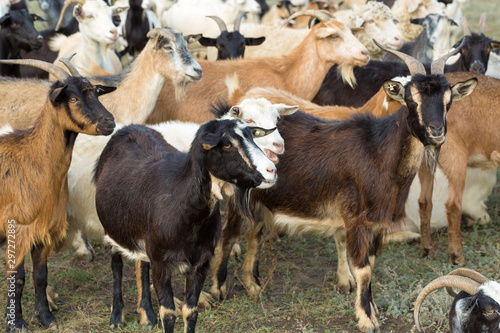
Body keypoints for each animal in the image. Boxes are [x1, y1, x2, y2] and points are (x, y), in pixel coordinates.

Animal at [0, 57, 116, 332]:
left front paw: (46, 318)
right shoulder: (18, 228)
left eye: (95, 93)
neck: (33, 161)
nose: (110, 122)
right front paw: (17, 323)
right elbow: (17, 277)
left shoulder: (44, 228)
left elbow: (40, 276)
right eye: (72, 98)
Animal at [94, 118, 278, 330]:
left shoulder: (200, 263)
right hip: (112, 229)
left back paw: (147, 316)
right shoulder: (161, 263)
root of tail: (129, 127)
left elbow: (190, 312)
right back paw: (117, 317)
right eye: (226, 144)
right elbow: (168, 314)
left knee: (142, 263)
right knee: (116, 262)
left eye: (251, 136)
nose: (272, 170)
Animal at [207, 42, 476, 332]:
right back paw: (218, 289)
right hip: (237, 193)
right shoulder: (356, 218)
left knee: (253, 233)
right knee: (228, 235)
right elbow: (363, 268)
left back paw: (253, 285)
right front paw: (366, 319)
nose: (436, 131)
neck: (380, 153)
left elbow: (371, 264)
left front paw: (373, 309)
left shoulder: (377, 224)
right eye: (411, 99)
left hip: (260, 199)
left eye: (448, 101)